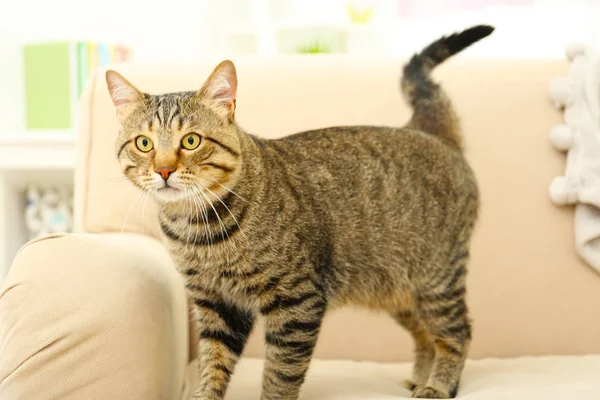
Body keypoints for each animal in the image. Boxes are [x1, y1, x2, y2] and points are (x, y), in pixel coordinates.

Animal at [106, 25, 492, 400]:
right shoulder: (216, 304)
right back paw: (421, 376)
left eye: (190, 141)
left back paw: (439, 384)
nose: (164, 170)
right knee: (425, 335)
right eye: (144, 143)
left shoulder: (296, 301)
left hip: (437, 280)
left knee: (457, 332)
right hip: (399, 292)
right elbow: (212, 364)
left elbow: (280, 374)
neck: (198, 229)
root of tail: (426, 131)